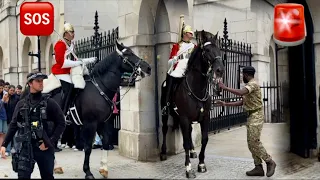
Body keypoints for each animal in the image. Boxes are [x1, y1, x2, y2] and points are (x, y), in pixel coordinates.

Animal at [47, 41, 152, 179]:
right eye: (127, 54)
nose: (148, 68)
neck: (101, 87)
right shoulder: (90, 124)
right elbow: (88, 147)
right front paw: (88, 172)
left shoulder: (104, 122)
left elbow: (106, 143)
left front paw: (104, 169)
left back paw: (56, 167)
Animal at [159, 30, 224, 178]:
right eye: (207, 50)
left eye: (219, 49)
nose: (220, 70)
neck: (197, 89)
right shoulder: (184, 118)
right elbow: (186, 143)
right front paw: (188, 169)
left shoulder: (204, 118)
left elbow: (204, 139)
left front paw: (201, 164)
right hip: (166, 114)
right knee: (165, 129)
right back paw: (163, 152)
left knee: (188, 133)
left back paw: (193, 152)